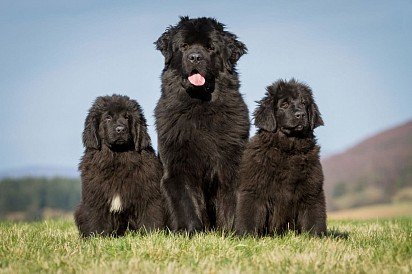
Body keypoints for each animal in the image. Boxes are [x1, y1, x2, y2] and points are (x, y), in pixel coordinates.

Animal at [75, 95, 165, 237]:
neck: (117, 158)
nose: (120, 129)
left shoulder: (148, 195)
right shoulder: (96, 197)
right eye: (107, 117)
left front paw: (152, 235)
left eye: (127, 117)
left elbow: (150, 218)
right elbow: (96, 220)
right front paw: (96, 237)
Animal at [154, 16, 249, 232]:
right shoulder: (178, 167)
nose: (195, 57)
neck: (200, 107)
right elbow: (186, 203)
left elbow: (231, 203)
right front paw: (191, 231)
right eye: (184, 46)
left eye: (210, 47)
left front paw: (231, 232)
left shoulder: (232, 164)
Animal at [237, 78, 326, 235]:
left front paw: (317, 237)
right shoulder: (254, 189)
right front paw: (245, 236)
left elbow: (314, 218)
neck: (288, 150)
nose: (300, 114)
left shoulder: (312, 190)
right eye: (284, 104)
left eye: (304, 103)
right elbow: (249, 215)